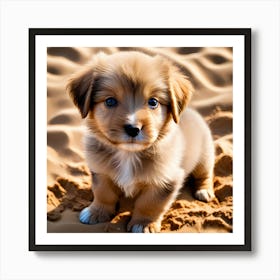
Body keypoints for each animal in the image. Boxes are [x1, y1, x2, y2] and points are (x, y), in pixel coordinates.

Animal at [67, 50, 214, 234]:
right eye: (110, 101)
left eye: (153, 102)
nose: (133, 129)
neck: (128, 154)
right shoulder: (101, 171)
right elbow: (103, 193)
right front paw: (96, 212)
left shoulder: (166, 180)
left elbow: (150, 204)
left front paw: (143, 223)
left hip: (205, 156)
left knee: (205, 174)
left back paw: (204, 191)